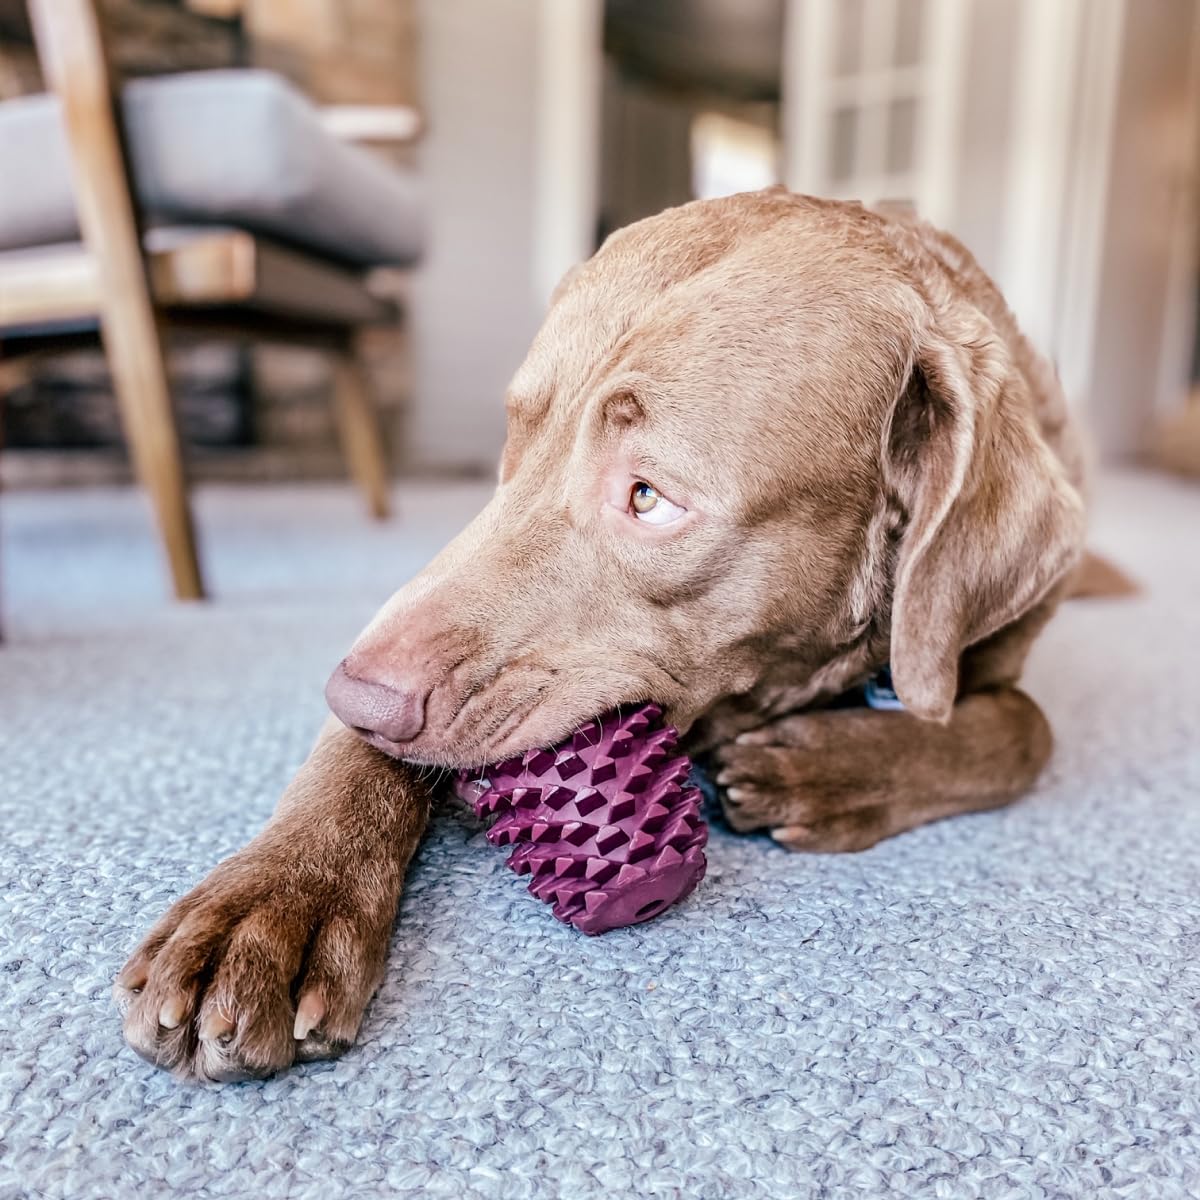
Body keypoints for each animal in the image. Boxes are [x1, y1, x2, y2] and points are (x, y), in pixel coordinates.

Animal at [112, 189, 1089, 1080]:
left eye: (648, 497)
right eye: (515, 438)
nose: (356, 691)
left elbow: (1027, 730)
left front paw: (823, 771)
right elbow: (357, 749)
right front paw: (277, 898)